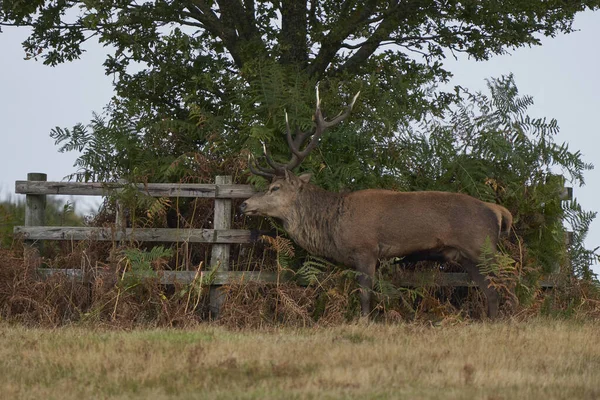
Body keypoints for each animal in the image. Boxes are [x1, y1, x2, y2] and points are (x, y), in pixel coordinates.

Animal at [239, 88, 510, 318]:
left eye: (275, 188)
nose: (244, 204)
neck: (332, 224)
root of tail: (498, 211)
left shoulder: (366, 250)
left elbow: (365, 296)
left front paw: (364, 321)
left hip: (483, 249)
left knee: (503, 288)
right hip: (467, 257)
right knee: (491, 292)